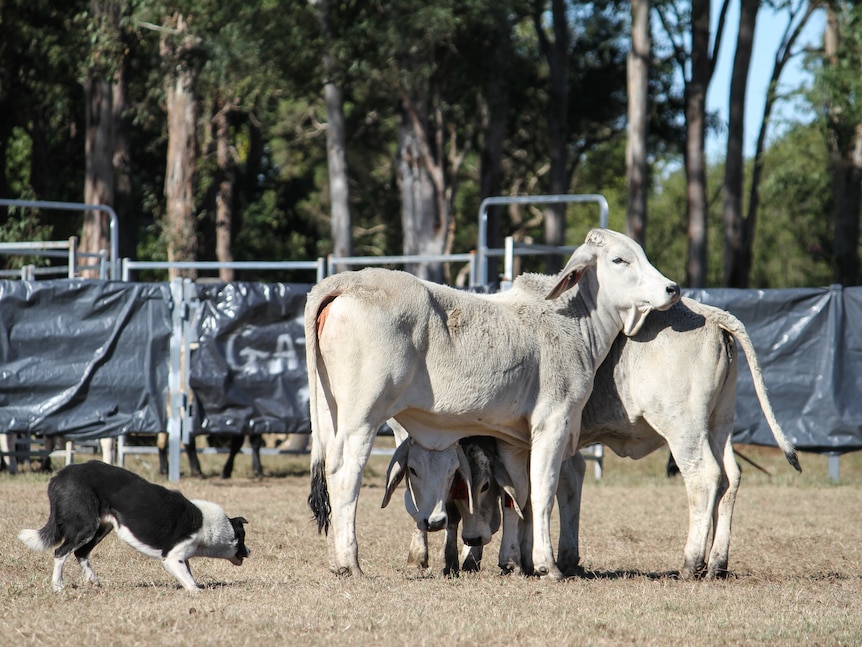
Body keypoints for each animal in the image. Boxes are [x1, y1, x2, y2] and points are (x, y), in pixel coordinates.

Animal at [19, 460, 250, 592]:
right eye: (243, 538)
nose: (249, 551)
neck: (208, 524)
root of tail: (60, 475)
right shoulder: (172, 557)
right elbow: (190, 581)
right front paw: (197, 592)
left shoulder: (181, 557)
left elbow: (188, 574)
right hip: (86, 526)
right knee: (61, 552)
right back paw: (58, 586)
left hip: (101, 528)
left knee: (80, 553)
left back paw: (93, 581)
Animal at [306, 227, 680, 576]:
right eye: (619, 259)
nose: (672, 289)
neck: (572, 320)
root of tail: (347, 281)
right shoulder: (553, 422)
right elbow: (543, 492)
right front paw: (546, 565)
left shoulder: (515, 440)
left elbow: (519, 495)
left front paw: (518, 560)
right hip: (363, 417)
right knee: (344, 471)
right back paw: (349, 561)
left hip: (330, 410)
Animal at [398, 298, 804, 584]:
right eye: (414, 474)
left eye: (479, 485)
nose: (474, 539)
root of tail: (712, 314)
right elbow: (551, 491)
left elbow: (522, 496)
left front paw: (509, 559)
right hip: (719, 424)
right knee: (731, 479)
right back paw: (718, 562)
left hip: (684, 428)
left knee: (705, 479)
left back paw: (692, 563)